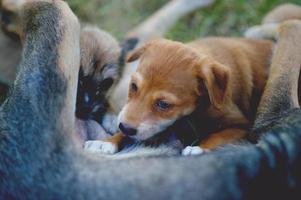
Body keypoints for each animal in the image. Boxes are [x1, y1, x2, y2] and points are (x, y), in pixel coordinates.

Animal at [86, 36, 272, 155]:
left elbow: (218, 135)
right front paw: (106, 142)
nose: (125, 127)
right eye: (133, 86)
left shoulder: (242, 126)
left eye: (164, 104)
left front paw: (198, 148)